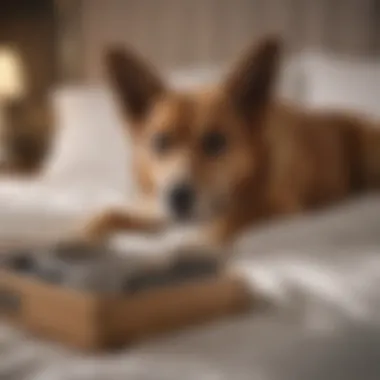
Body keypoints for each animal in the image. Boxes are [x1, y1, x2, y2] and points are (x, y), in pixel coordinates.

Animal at [80, 36, 380, 255]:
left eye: (216, 142)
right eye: (160, 142)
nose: (178, 196)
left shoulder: (279, 205)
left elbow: (233, 217)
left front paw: (199, 245)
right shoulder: (155, 206)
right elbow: (108, 214)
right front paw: (80, 237)